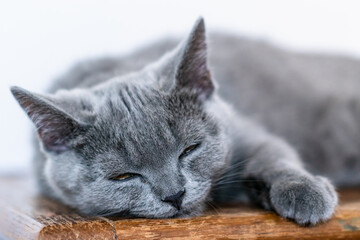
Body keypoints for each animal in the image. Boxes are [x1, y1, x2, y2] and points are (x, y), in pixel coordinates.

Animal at [11, 17, 360, 226]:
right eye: (123, 176)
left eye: (190, 149)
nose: (174, 194)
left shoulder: (245, 131)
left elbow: (274, 152)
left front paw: (305, 191)